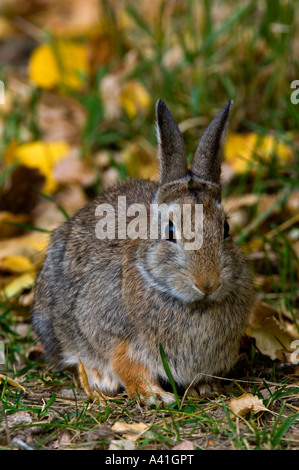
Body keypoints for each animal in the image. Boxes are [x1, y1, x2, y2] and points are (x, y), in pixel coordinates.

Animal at [32, 99, 255, 404]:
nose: (208, 283)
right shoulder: (120, 340)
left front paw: (204, 387)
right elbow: (128, 368)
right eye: (170, 231)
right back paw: (98, 378)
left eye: (226, 228)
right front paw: (155, 396)